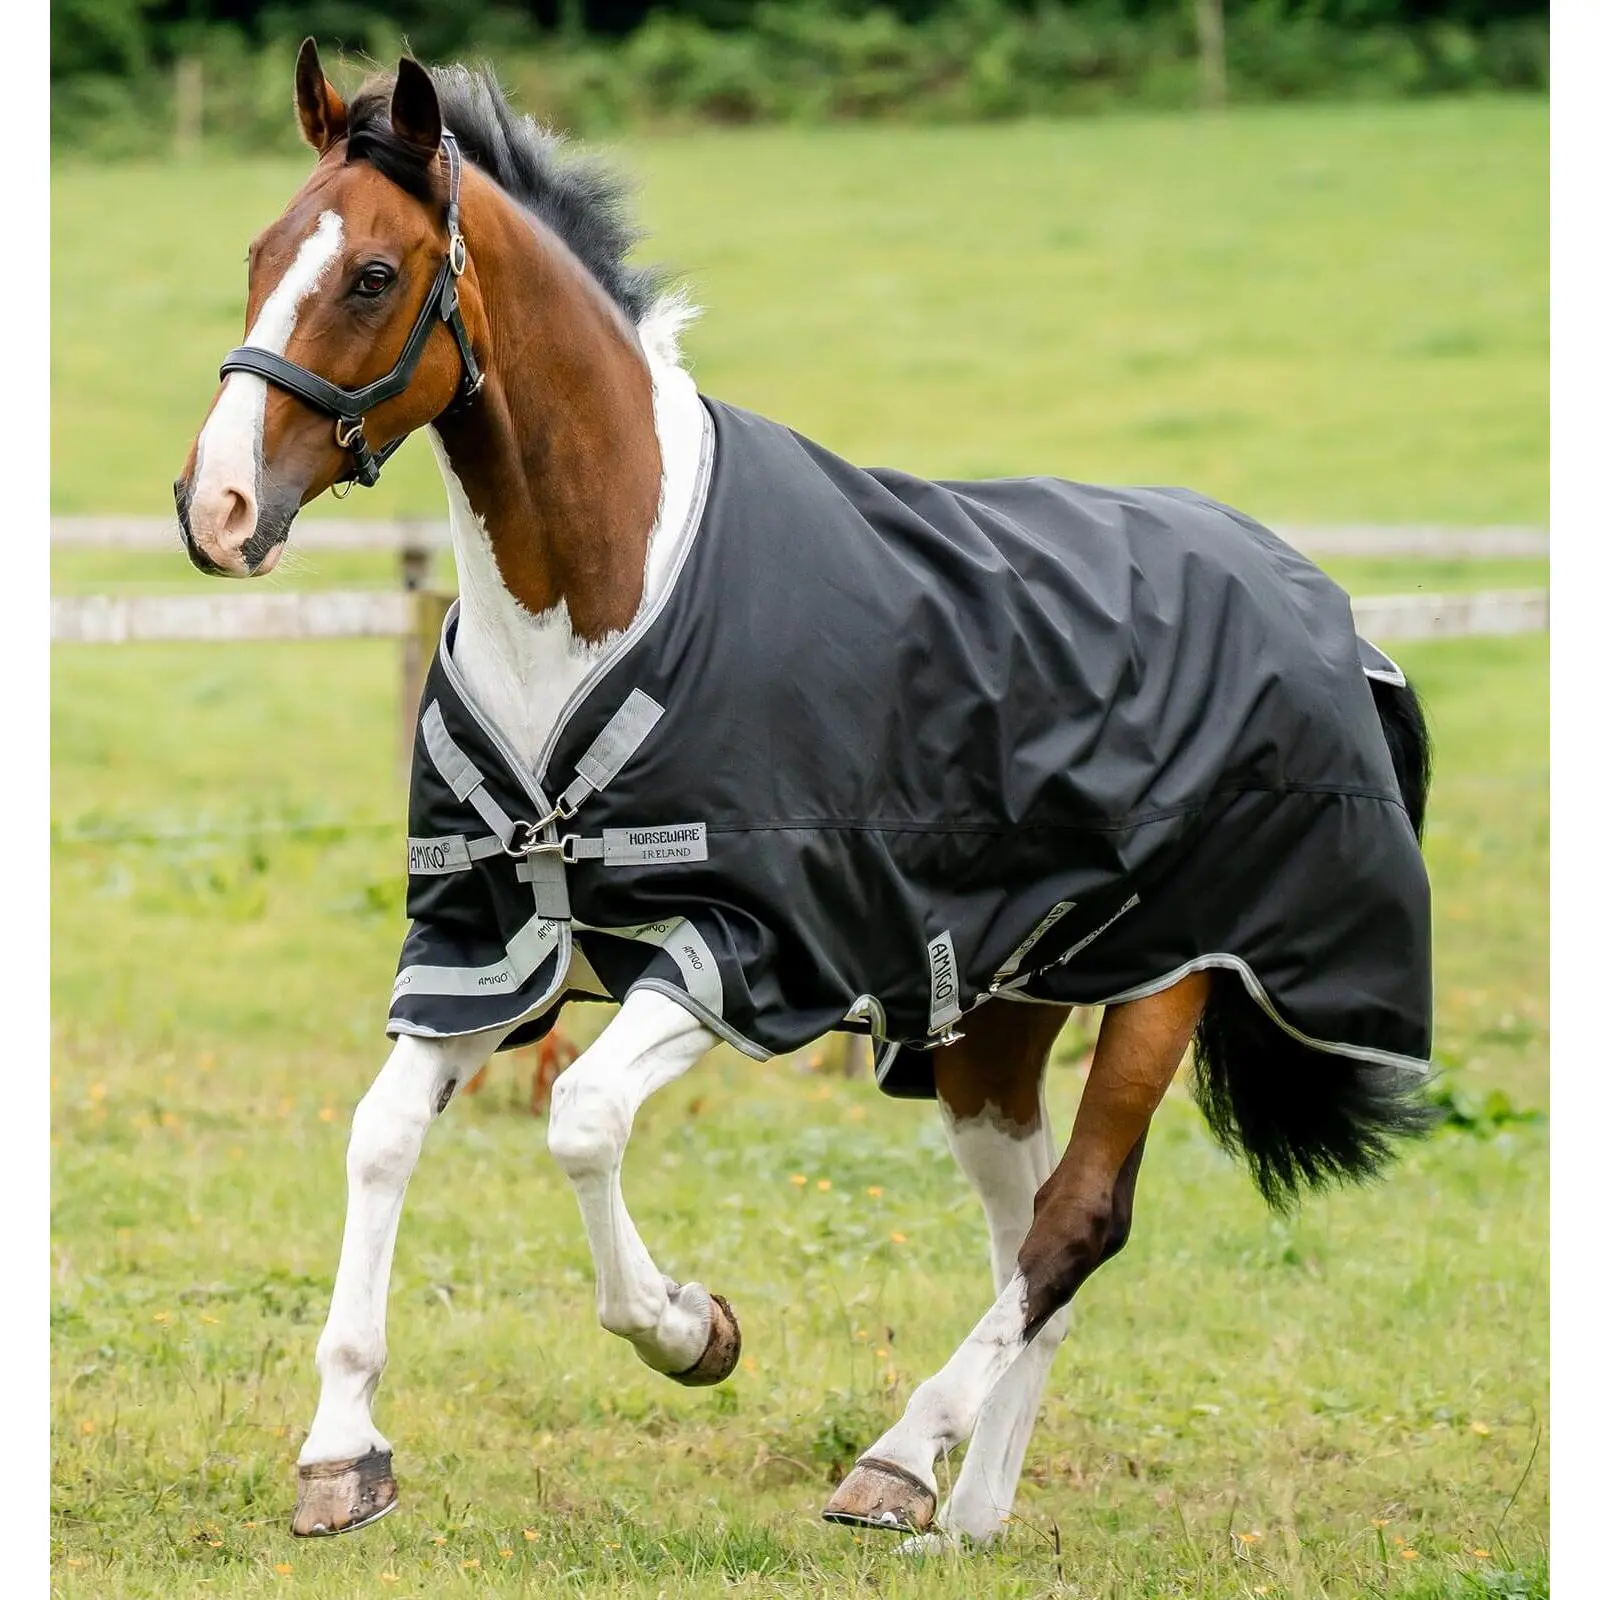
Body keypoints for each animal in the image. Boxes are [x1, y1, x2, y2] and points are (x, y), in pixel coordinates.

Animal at [174, 43, 1436, 1547]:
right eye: (258, 253)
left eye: (370, 274)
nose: (216, 509)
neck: (598, 597)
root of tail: (1321, 603)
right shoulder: (487, 945)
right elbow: (379, 1138)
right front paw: (341, 1454)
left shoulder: (745, 948)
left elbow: (582, 1119)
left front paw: (690, 1330)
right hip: (993, 1018)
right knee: (1031, 1246)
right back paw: (968, 1513)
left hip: (1170, 977)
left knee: (1078, 1221)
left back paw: (898, 1462)